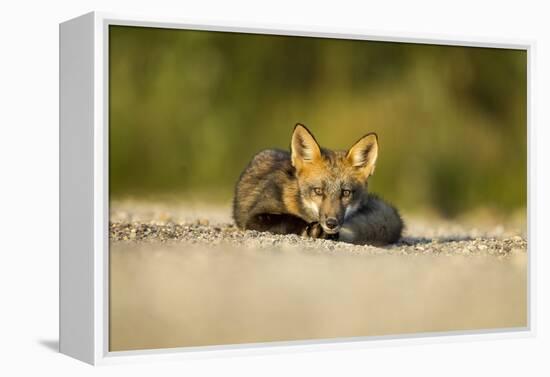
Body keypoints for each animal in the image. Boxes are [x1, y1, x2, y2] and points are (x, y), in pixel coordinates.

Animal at [233, 125, 406, 245]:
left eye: (346, 193)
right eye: (318, 191)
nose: (331, 223)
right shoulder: (254, 217)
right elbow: (288, 220)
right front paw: (311, 229)